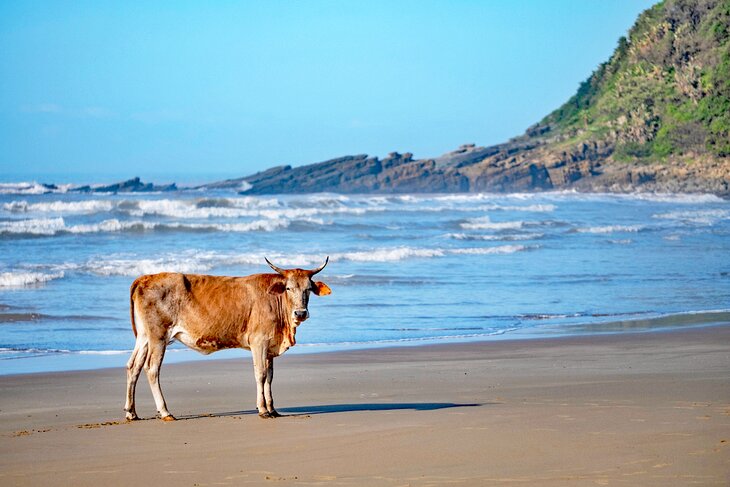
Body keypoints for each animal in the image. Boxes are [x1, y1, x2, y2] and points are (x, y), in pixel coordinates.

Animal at [124, 258, 330, 422]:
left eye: (308, 289)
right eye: (288, 288)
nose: (300, 313)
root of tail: (146, 278)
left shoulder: (270, 346)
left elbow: (270, 377)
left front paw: (272, 409)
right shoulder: (259, 342)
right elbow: (261, 374)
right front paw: (263, 409)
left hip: (144, 336)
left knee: (133, 366)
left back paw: (131, 412)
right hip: (158, 336)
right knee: (151, 368)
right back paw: (165, 412)